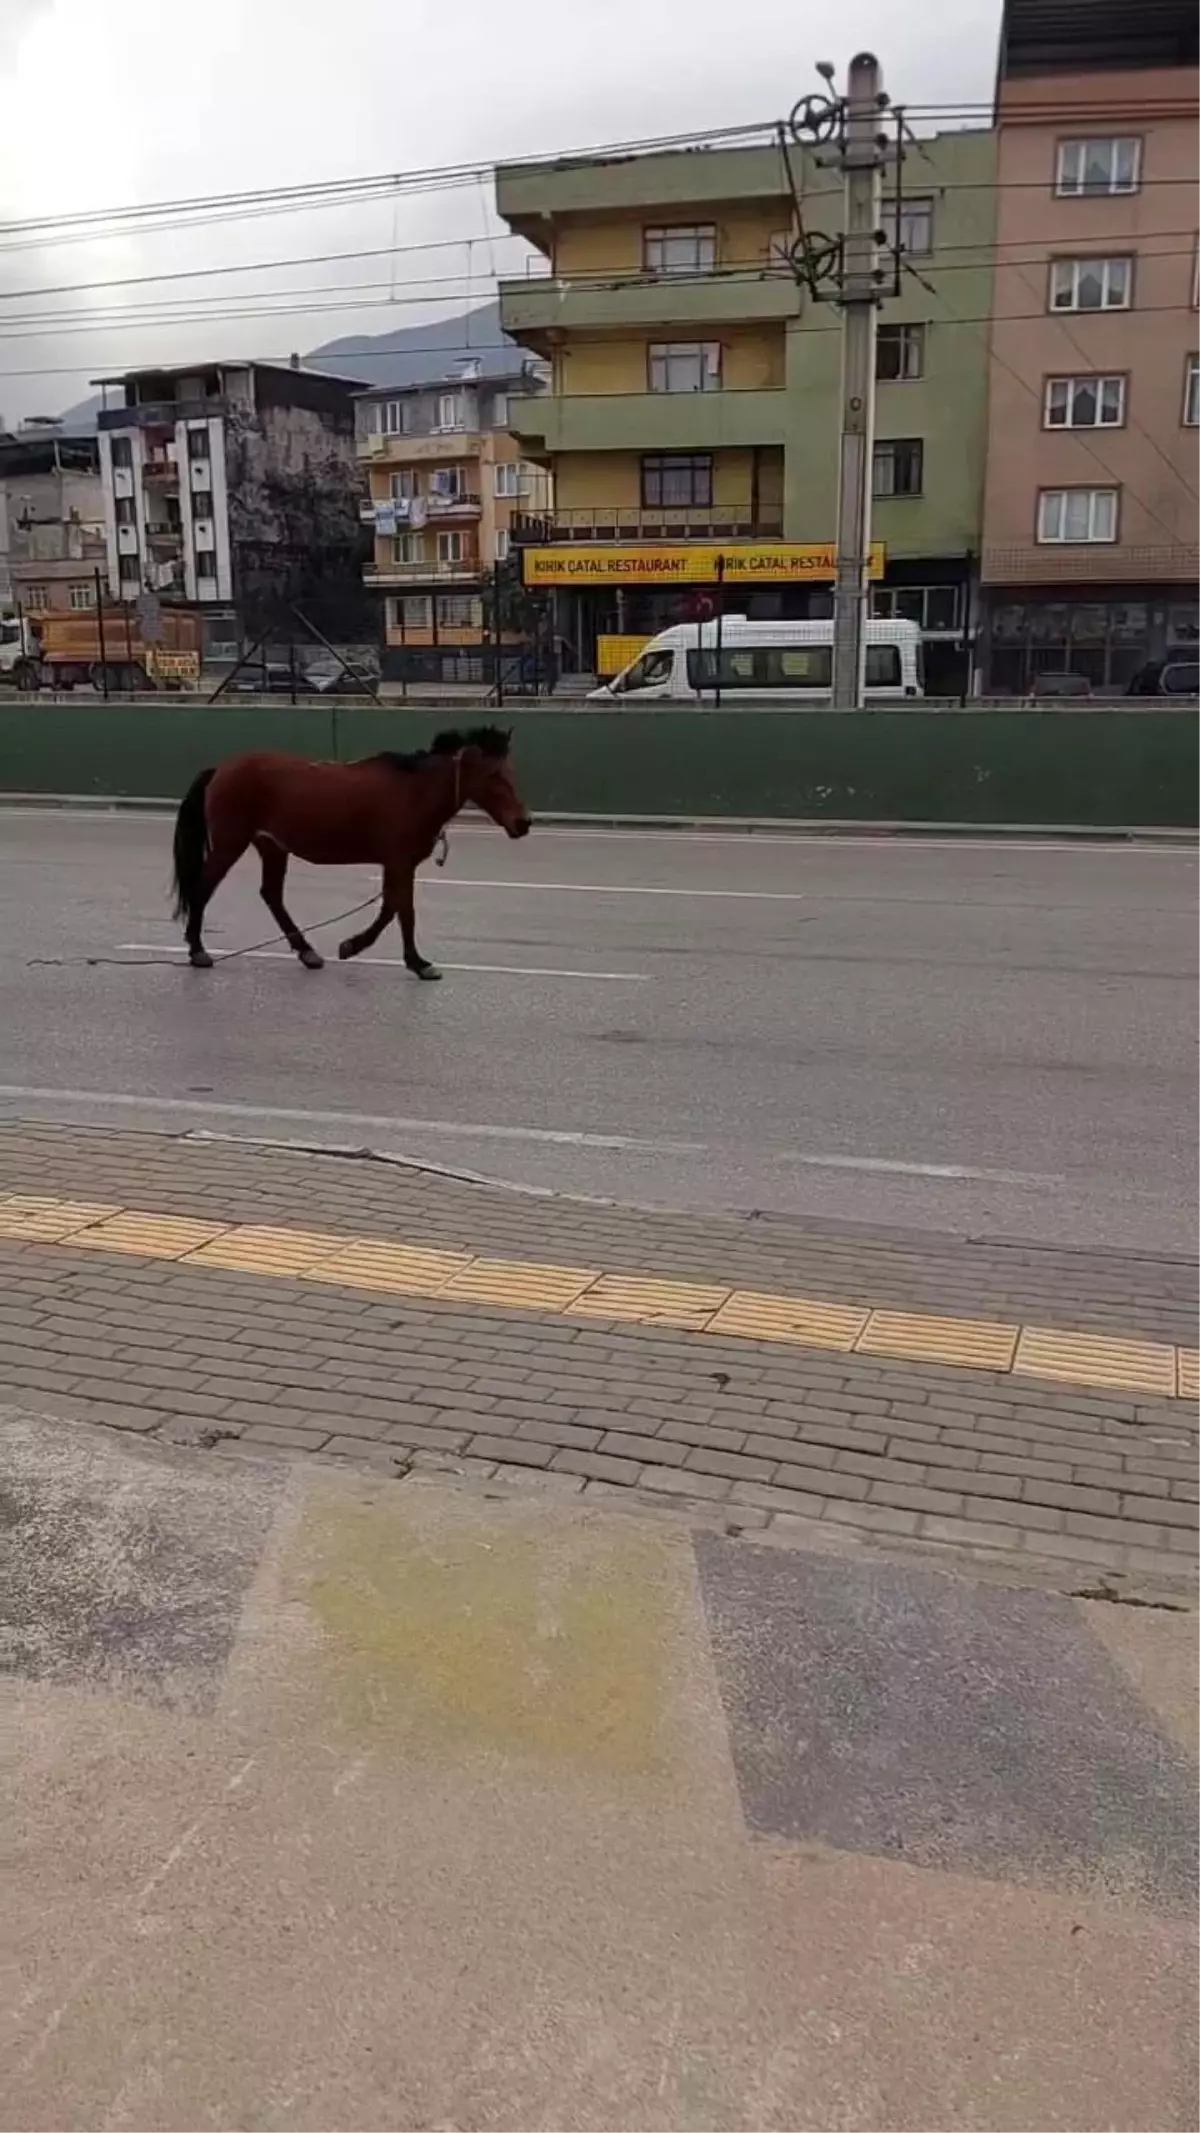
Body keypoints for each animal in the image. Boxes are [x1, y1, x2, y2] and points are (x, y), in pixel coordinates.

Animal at [169, 725, 530, 976]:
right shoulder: (399, 862)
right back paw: (198, 951)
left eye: (511, 772)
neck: (413, 791)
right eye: (493, 775)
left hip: (272, 847)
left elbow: (391, 908)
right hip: (231, 843)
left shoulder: (398, 864)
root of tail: (220, 769)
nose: (523, 822)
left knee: (271, 895)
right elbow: (404, 911)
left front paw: (358, 946)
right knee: (203, 888)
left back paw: (307, 951)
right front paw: (415, 962)